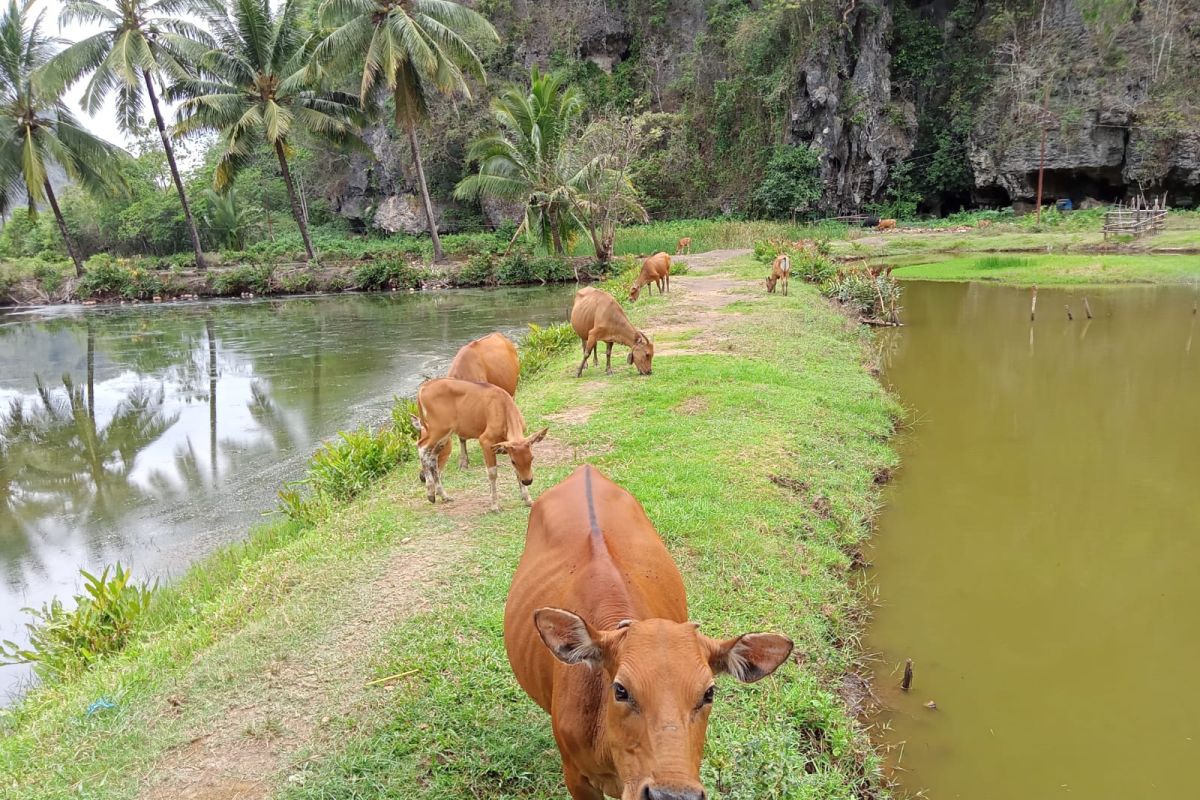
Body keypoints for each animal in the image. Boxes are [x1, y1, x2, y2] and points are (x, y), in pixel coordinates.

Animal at [410, 376, 547, 513]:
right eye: (514, 461)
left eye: (532, 458)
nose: (528, 481)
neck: (503, 408)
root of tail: (424, 387)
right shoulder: (485, 440)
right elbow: (492, 473)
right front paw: (494, 505)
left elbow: (516, 472)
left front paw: (527, 499)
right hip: (438, 429)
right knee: (422, 447)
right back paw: (430, 492)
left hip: (444, 435)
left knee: (432, 456)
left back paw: (443, 495)